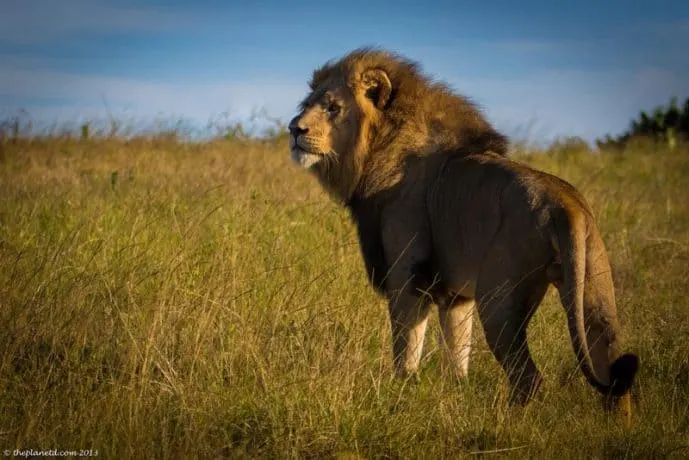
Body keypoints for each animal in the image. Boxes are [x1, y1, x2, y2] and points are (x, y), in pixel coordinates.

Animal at [284, 47, 636, 420]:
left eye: (333, 108)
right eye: (308, 103)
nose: (294, 129)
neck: (378, 149)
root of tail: (564, 204)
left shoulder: (407, 277)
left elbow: (406, 349)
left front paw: (400, 397)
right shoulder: (455, 295)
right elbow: (457, 354)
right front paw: (457, 393)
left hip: (499, 300)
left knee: (529, 378)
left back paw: (508, 423)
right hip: (593, 288)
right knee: (612, 369)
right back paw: (617, 428)